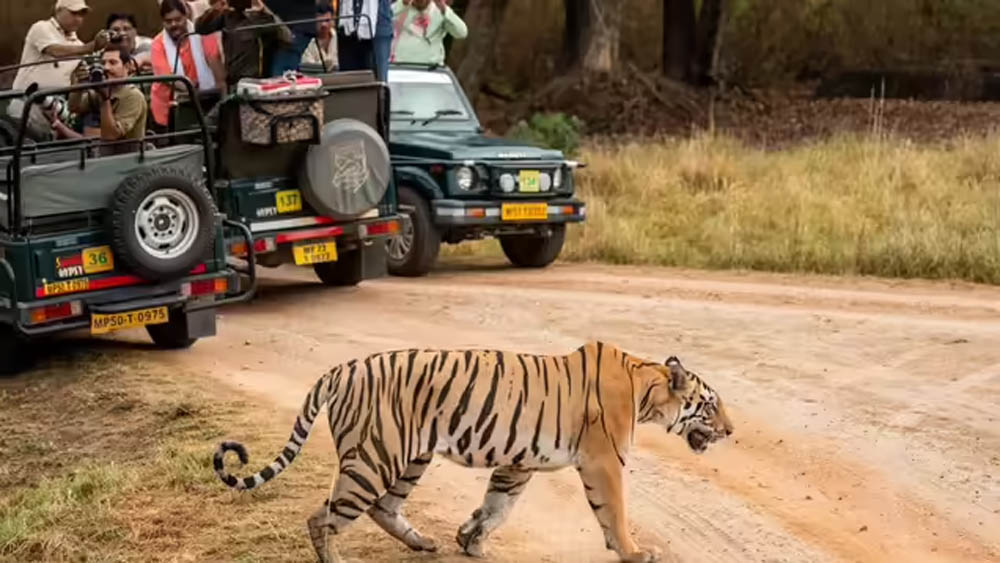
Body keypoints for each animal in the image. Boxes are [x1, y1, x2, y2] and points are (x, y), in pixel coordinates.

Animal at [212, 340, 734, 563]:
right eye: (711, 404)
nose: (731, 431)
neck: (646, 385)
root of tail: (341, 368)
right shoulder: (604, 462)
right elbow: (616, 513)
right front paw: (634, 552)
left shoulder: (519, 463)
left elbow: (496, 506)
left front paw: (470, 541)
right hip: (374, 458)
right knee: (322, 518)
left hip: (408, 457)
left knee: (382, 508)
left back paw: (424, 544)